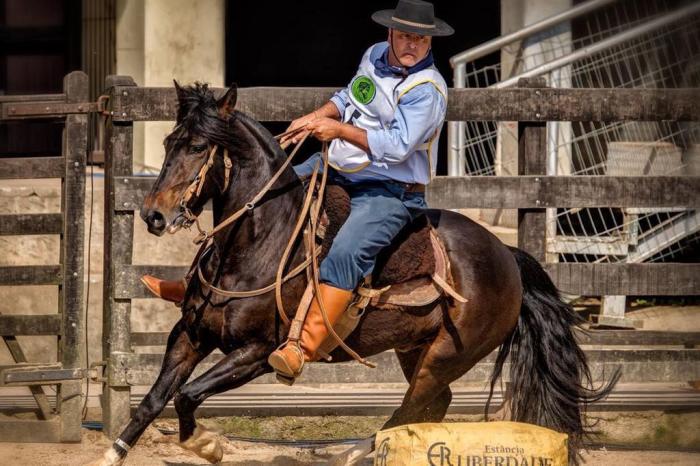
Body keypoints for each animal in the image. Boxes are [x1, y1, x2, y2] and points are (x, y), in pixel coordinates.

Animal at [89, 82, 616, 464]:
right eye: (169, 142)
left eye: (199, 146)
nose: (154, 215)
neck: (261, 240)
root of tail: (506, 254)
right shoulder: (189, 334)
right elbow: (154, 400)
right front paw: (113, 455)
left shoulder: (258, 353)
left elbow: (187, 396)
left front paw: (208, 445)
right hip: (414, 350)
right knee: (431, 405)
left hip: (445, 356)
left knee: (411, 407)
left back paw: (358, 451)